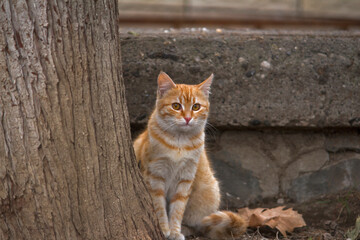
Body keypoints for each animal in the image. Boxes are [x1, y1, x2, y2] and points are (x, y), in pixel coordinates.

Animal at [133, 71, 248, 240]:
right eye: (176, 106)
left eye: (196, 107)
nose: (187, 118)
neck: (179, 143)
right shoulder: (155, 177)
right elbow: (159, 206)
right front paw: (164, 228)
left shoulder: (185, 178)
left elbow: (177, 209)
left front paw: (174, 231)